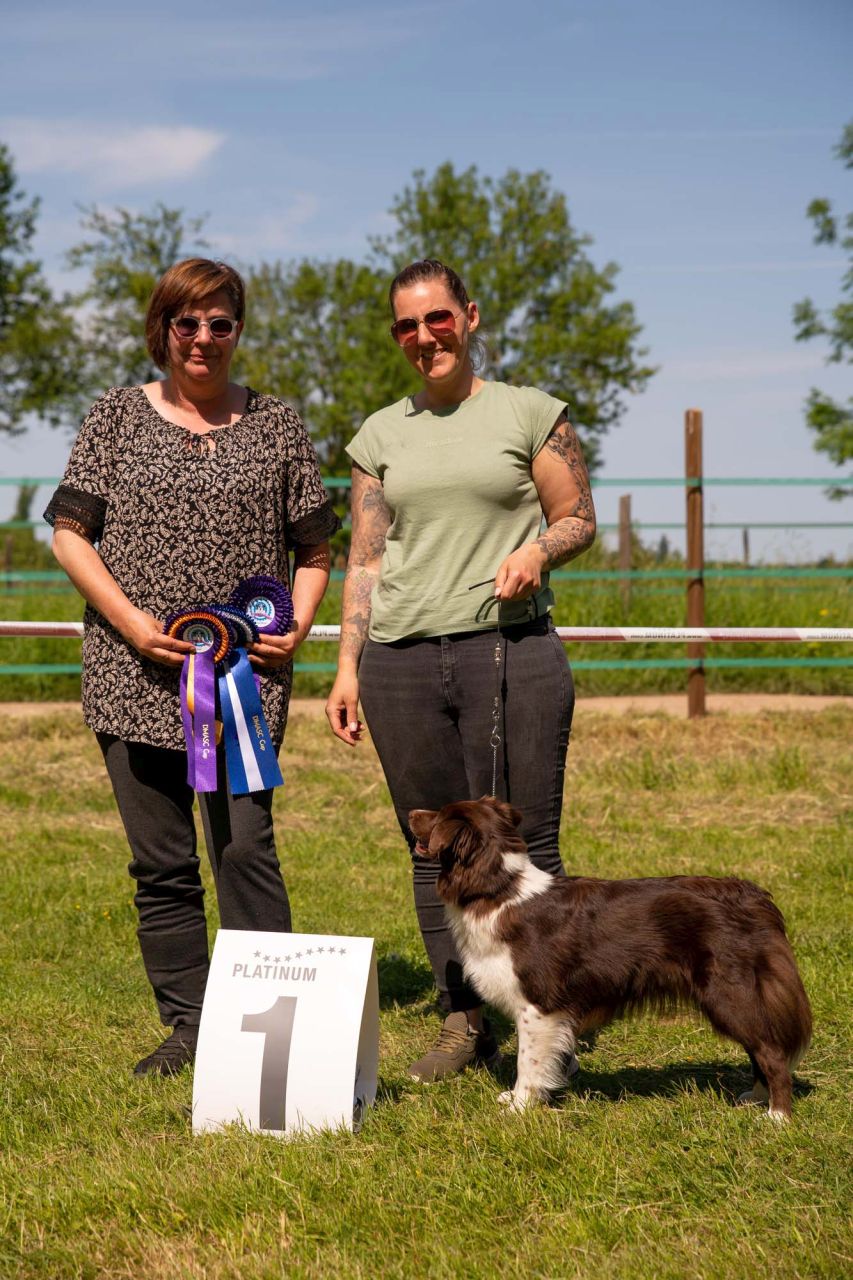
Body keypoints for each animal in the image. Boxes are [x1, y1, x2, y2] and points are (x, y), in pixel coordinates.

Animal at [409, 793, 809, 1116]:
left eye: (438, 815)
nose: (411, 813)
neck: (497, 889)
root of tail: (753, 896)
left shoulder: (537, 1006)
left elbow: (529, 1061)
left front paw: (520, 1106)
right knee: (760, 1048)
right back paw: (756, 1098)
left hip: (729, 993)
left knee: (771, 1052)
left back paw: (777, 1116)